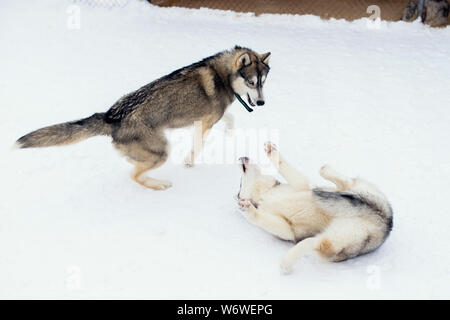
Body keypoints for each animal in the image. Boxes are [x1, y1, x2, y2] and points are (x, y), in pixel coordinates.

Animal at [14, 45, 270, 190]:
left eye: (263, 83)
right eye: (251, 82)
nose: (261, 103)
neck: (223, 75)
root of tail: (111, 116)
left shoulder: (207, 118)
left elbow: (229, 119)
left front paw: (230, 131)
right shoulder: (206, 122)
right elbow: (197, 147)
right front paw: (189, 162)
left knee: (133, 165)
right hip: (162, 151)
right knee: (134, 175)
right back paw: (159, 184)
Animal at [237, 144, 392, 274]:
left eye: (239, 182)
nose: (241, 157)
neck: (264, 195)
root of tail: (385, 220)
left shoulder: (302, 185)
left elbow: (288, 170)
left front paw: (272, 152)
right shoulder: (287, 229)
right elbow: (268, 221)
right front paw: (248, 210)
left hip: (359, 193)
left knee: (346, 182)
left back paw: (325, 170)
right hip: (338, 237)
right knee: (313, 243)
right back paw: (287, 261)